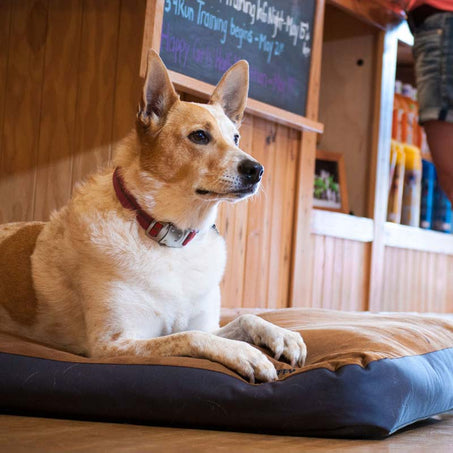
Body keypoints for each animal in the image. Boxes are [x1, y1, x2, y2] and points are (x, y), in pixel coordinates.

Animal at [0, 49, 306, 382]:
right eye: (199, 136)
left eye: (236, 138)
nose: (257, 170)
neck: (171, 237)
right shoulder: (114, 345)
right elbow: (193, 337)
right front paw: (244, 353)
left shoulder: (207, 324)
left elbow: (242, 319)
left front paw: (282, 334)